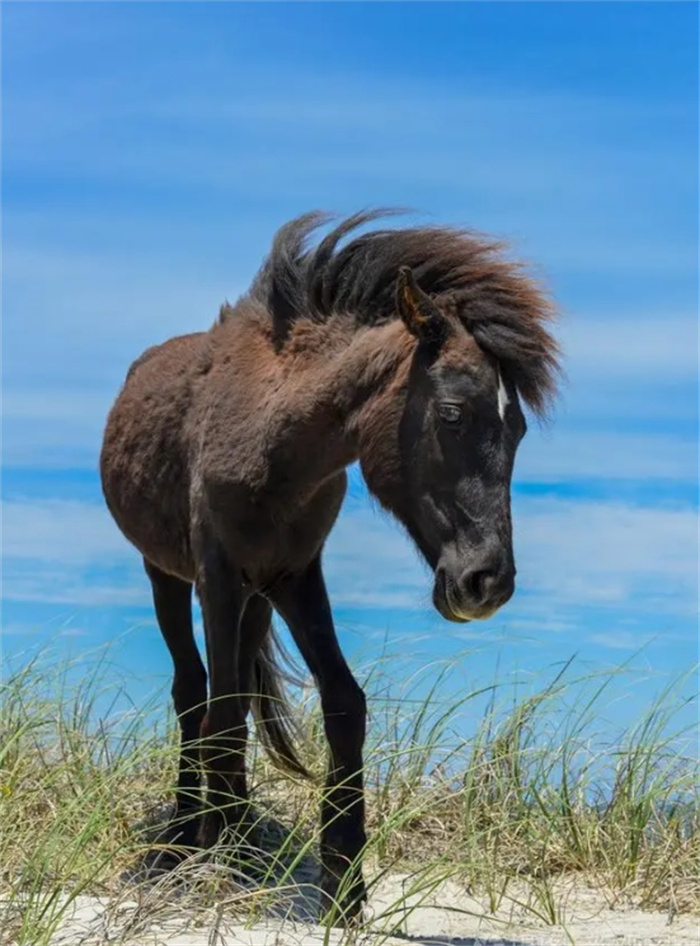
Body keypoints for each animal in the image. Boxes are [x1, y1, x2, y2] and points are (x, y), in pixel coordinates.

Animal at [100, 210, 556, 920]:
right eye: (452, 413)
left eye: (519, 430)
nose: (487, 584)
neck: (271, 434)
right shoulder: (217, 578)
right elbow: (220, 712)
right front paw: (214, 860)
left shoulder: (295, 577)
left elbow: (342, 703)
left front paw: (344, 883)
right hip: (169, 579)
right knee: (190, 692)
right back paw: (182, 840)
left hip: (257, 601)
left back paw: (238, 831)